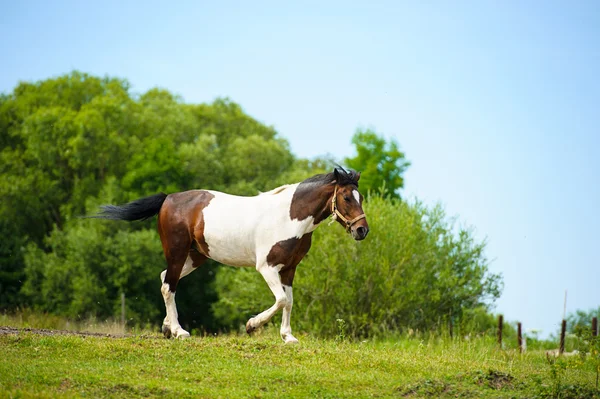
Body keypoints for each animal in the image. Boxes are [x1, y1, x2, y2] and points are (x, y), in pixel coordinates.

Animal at [94, 166, 368, 344]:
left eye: (361, 197)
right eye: (346, 197)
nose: (362, 230)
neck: (289, 217)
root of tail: (168, 198)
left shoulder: (289, 269)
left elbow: (289, 301)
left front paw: (288, 337)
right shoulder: (267, 268)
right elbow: (280, 300)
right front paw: (252, 325)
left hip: (195, 256)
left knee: (165, 279)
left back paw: (167, 327)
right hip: (177, 252)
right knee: (168, 286)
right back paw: (179, 332)